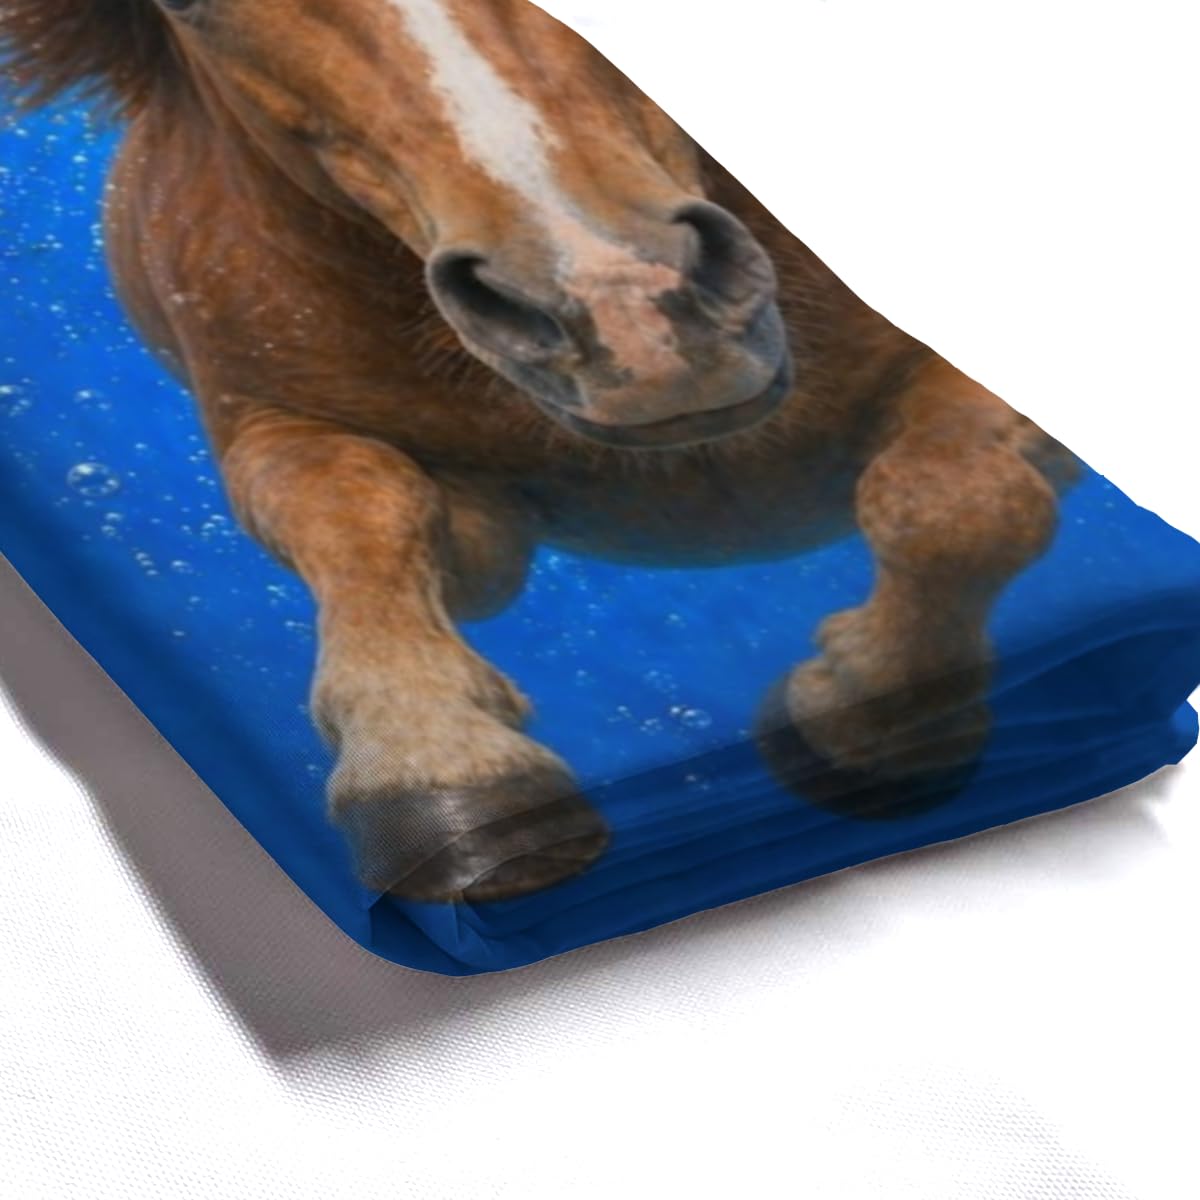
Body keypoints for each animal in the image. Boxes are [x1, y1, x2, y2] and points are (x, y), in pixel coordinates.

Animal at [2, 0, 1077, 903]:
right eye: (192, 7)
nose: (624, 305)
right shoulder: (311, 445)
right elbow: (360, 510)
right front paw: (438, 761)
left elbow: (952, 502)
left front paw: (866, 719)